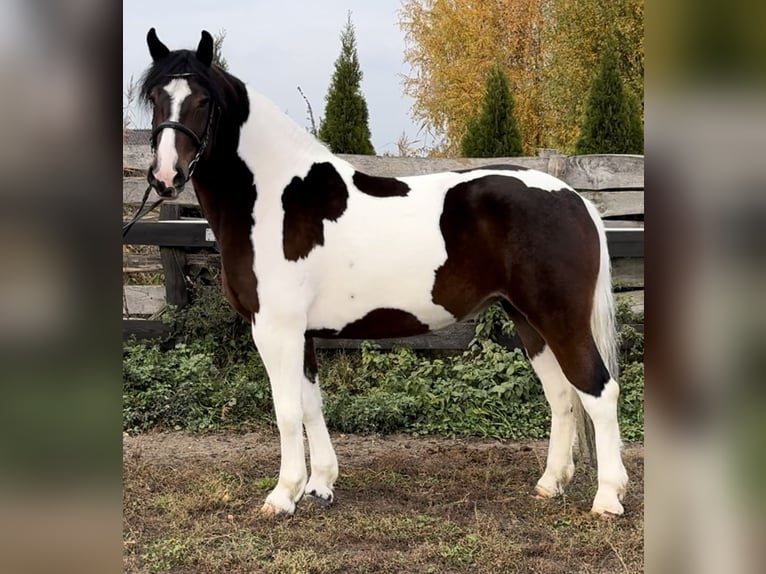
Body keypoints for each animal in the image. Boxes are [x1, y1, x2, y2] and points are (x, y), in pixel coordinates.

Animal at [138, 29, 632, 520]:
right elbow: (311, 405)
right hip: (527, 320)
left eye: (203, 100)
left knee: (599, 390)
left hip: (559, 319)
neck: (275, 196)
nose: (166, 176)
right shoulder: (302, 332)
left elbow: (287, 410)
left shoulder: (276, 327)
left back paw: (607, 497)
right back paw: (551, 483)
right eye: (156, 98)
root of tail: (575, 199)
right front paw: (319, 485)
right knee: (562, 395)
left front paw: (283, 495)